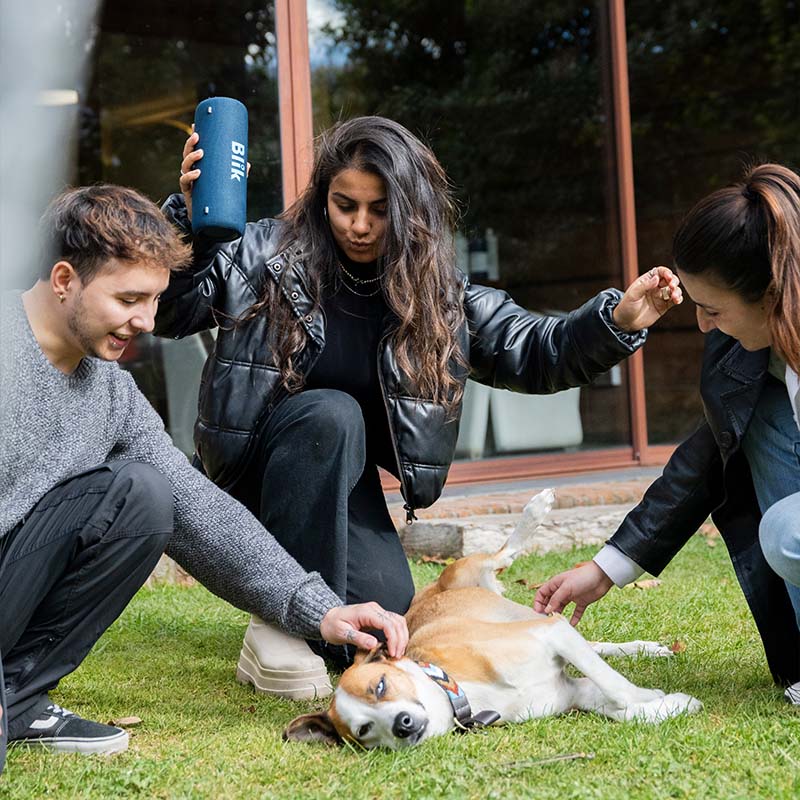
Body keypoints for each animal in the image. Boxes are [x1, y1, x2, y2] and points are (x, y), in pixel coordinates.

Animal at [285, 489, 702, 749]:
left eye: (381, 686)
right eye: (365, 730)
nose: (402, 725)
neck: (461, 692)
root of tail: (431, 591)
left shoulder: (550, 634)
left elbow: (617, 687)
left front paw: (650, 697)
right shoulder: (573, 689)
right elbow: (622, 708)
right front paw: (668, 705)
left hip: (468, 570)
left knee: (505, 553)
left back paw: (535, 511)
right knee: (593, 644)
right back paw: (644, 649)